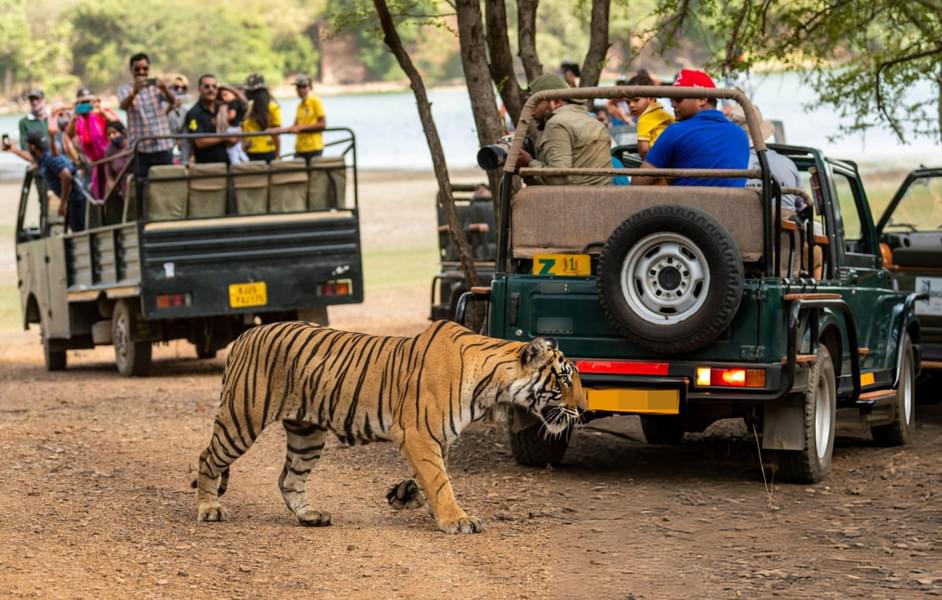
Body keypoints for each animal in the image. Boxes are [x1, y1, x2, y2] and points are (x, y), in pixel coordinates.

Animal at [195, 318, 588, 536]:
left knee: (288, 478)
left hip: (307, 434)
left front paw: (404, 495)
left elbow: (432, 477)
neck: (493, 388)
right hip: (241, 419)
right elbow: (440, 480)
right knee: (207, 458)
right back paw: (209, 509)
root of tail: (246, 335)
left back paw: (310, 516)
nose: (584, 409)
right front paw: (457, 520)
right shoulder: (417, 433)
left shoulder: (438, 438)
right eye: (564, 379)